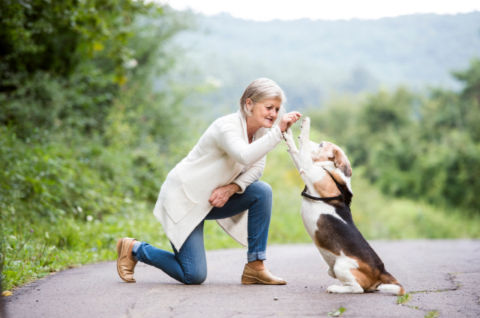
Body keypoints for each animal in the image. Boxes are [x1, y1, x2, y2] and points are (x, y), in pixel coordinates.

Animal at [284, 118, 404, 296]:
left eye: (321, 144)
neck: (332, 172)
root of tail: (381, 271)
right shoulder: (307, 168)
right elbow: (296, 151)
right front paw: (288, 133)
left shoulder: (310, 170)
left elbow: (303, 150)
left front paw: (304, 126)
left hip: (342, 266)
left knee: (357, 289)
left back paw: (336, 288)